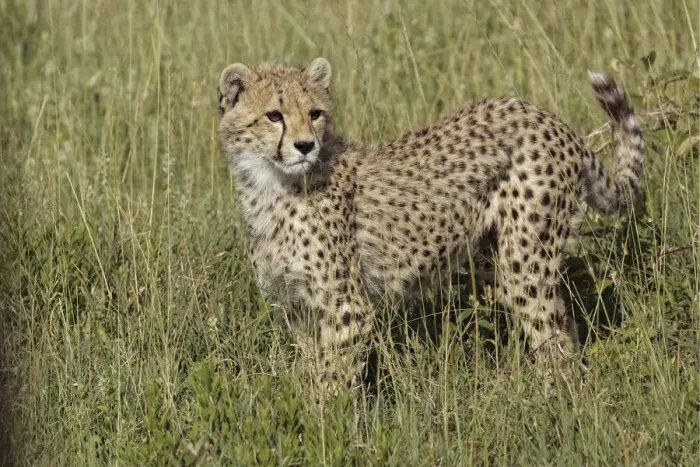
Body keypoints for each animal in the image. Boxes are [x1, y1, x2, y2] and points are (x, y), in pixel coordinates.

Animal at [217, 57, 645, 399]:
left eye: (315, 114)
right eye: (274, 115)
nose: (306, 146)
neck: (270, 186)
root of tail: (549, 119)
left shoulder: (347, 307)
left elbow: (332, 379)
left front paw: (329, 425)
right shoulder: (297, 309)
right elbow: (312, 369)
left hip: (526, 258)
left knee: (550, 333)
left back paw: (555, 404)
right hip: (493, 255)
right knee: (562, 321)